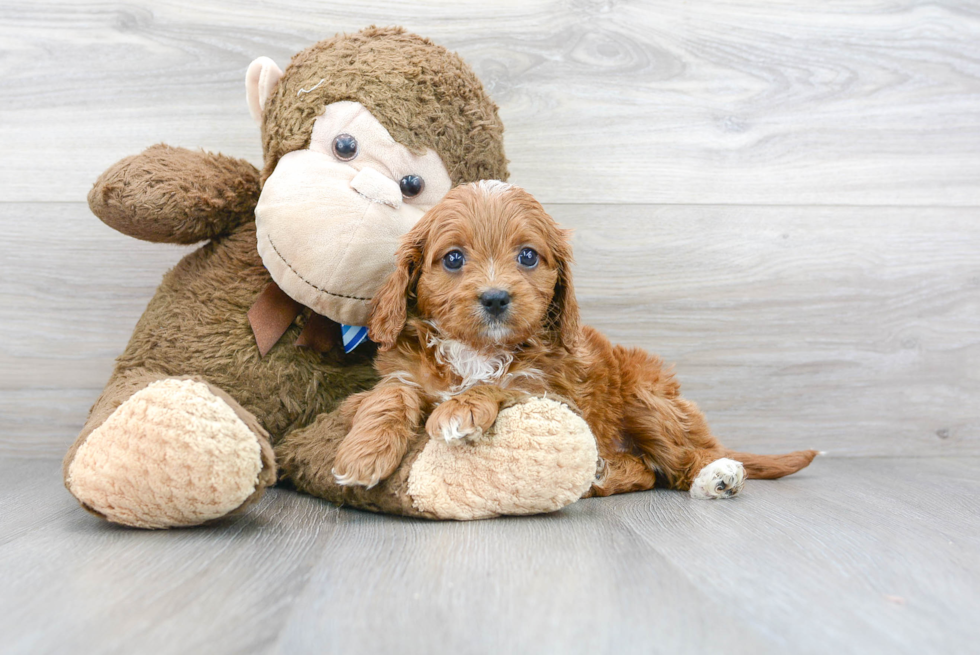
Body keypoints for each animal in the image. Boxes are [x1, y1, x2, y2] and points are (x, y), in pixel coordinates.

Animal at [334, 182, 816, 500]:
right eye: (453, 258)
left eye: (528, 256)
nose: (495, 297)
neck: (477, 351)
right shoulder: (403, 371)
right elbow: (389, 394)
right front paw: (363, 453)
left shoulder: (553, 390)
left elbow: (504, 383)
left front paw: (461, 408)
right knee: (646, 470)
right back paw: (603, 474)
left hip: (646, 397)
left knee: (680, 458)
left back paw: (716, 474)